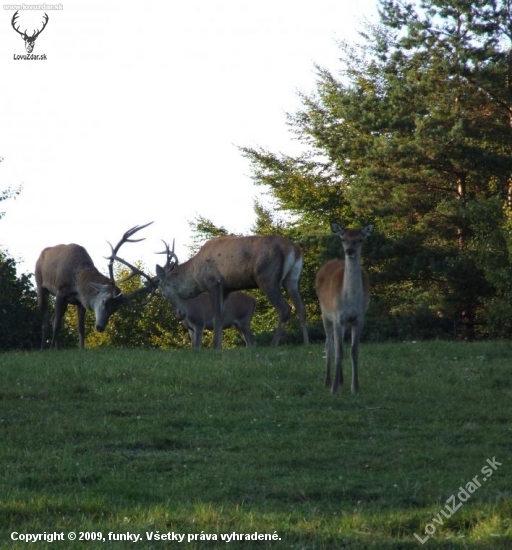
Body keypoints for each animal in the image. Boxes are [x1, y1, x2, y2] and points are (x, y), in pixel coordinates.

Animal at [155, 236, 308, 350]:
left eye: (164, 294)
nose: (180, 314)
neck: (195, 276)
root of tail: (295, 250)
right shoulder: (227, 289)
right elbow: (222, 318)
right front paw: (219, 347)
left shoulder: (213, 283)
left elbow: (216, 317)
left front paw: (214, 348)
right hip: (292, 279)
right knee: (301, 307)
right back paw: (307, 343)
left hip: (267, 277)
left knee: (284, 308)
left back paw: (273, 345)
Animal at [314, 222, 374, 394]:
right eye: (343, 239)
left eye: (360, 239)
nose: (349, 251)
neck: (350, 300)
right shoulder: (338, 316)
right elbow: (339, 351)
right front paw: (333, 390)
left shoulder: (359, 317)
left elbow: (354, 351)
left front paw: (355, 387)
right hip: (325, 312)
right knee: (329, 344)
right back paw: (328, 381)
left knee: (336, 343)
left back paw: (341, 379)